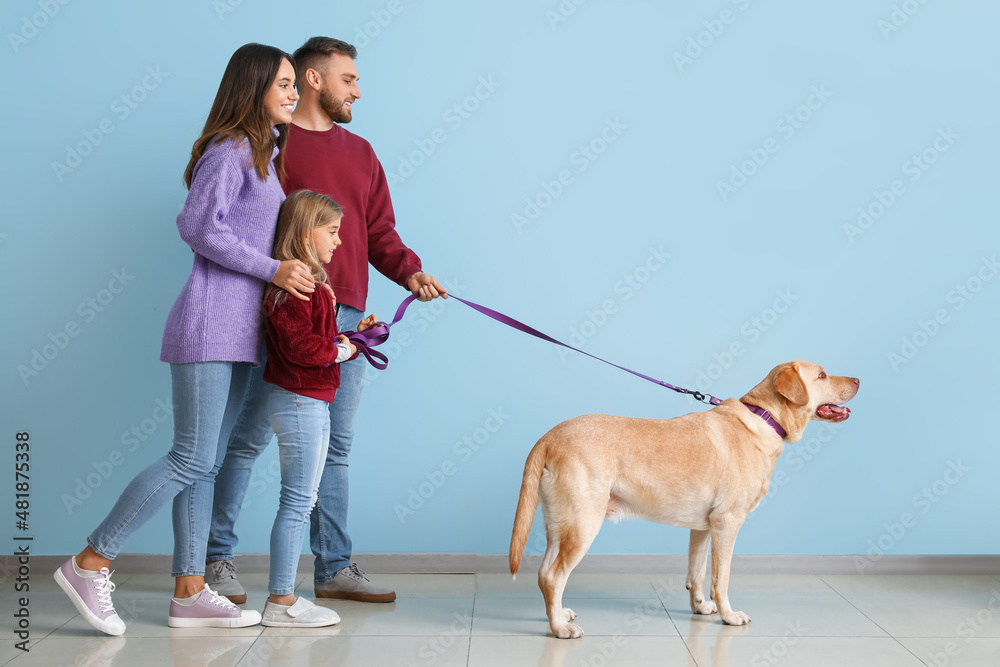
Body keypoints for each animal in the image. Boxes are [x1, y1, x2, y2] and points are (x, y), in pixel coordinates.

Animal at [512, 360, 856, 636]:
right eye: (822, 375)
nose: (858, 380)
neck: (764, 416)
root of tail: (549, 437)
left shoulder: (703, 526)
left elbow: (697, 572)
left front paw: (700, 606)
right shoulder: (726, 522)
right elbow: (721, 578)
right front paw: (729, 615)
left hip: (560, 526)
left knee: (543, 574)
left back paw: (558, 614)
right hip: (583, 523)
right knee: (554, 577)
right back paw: (559, 628)